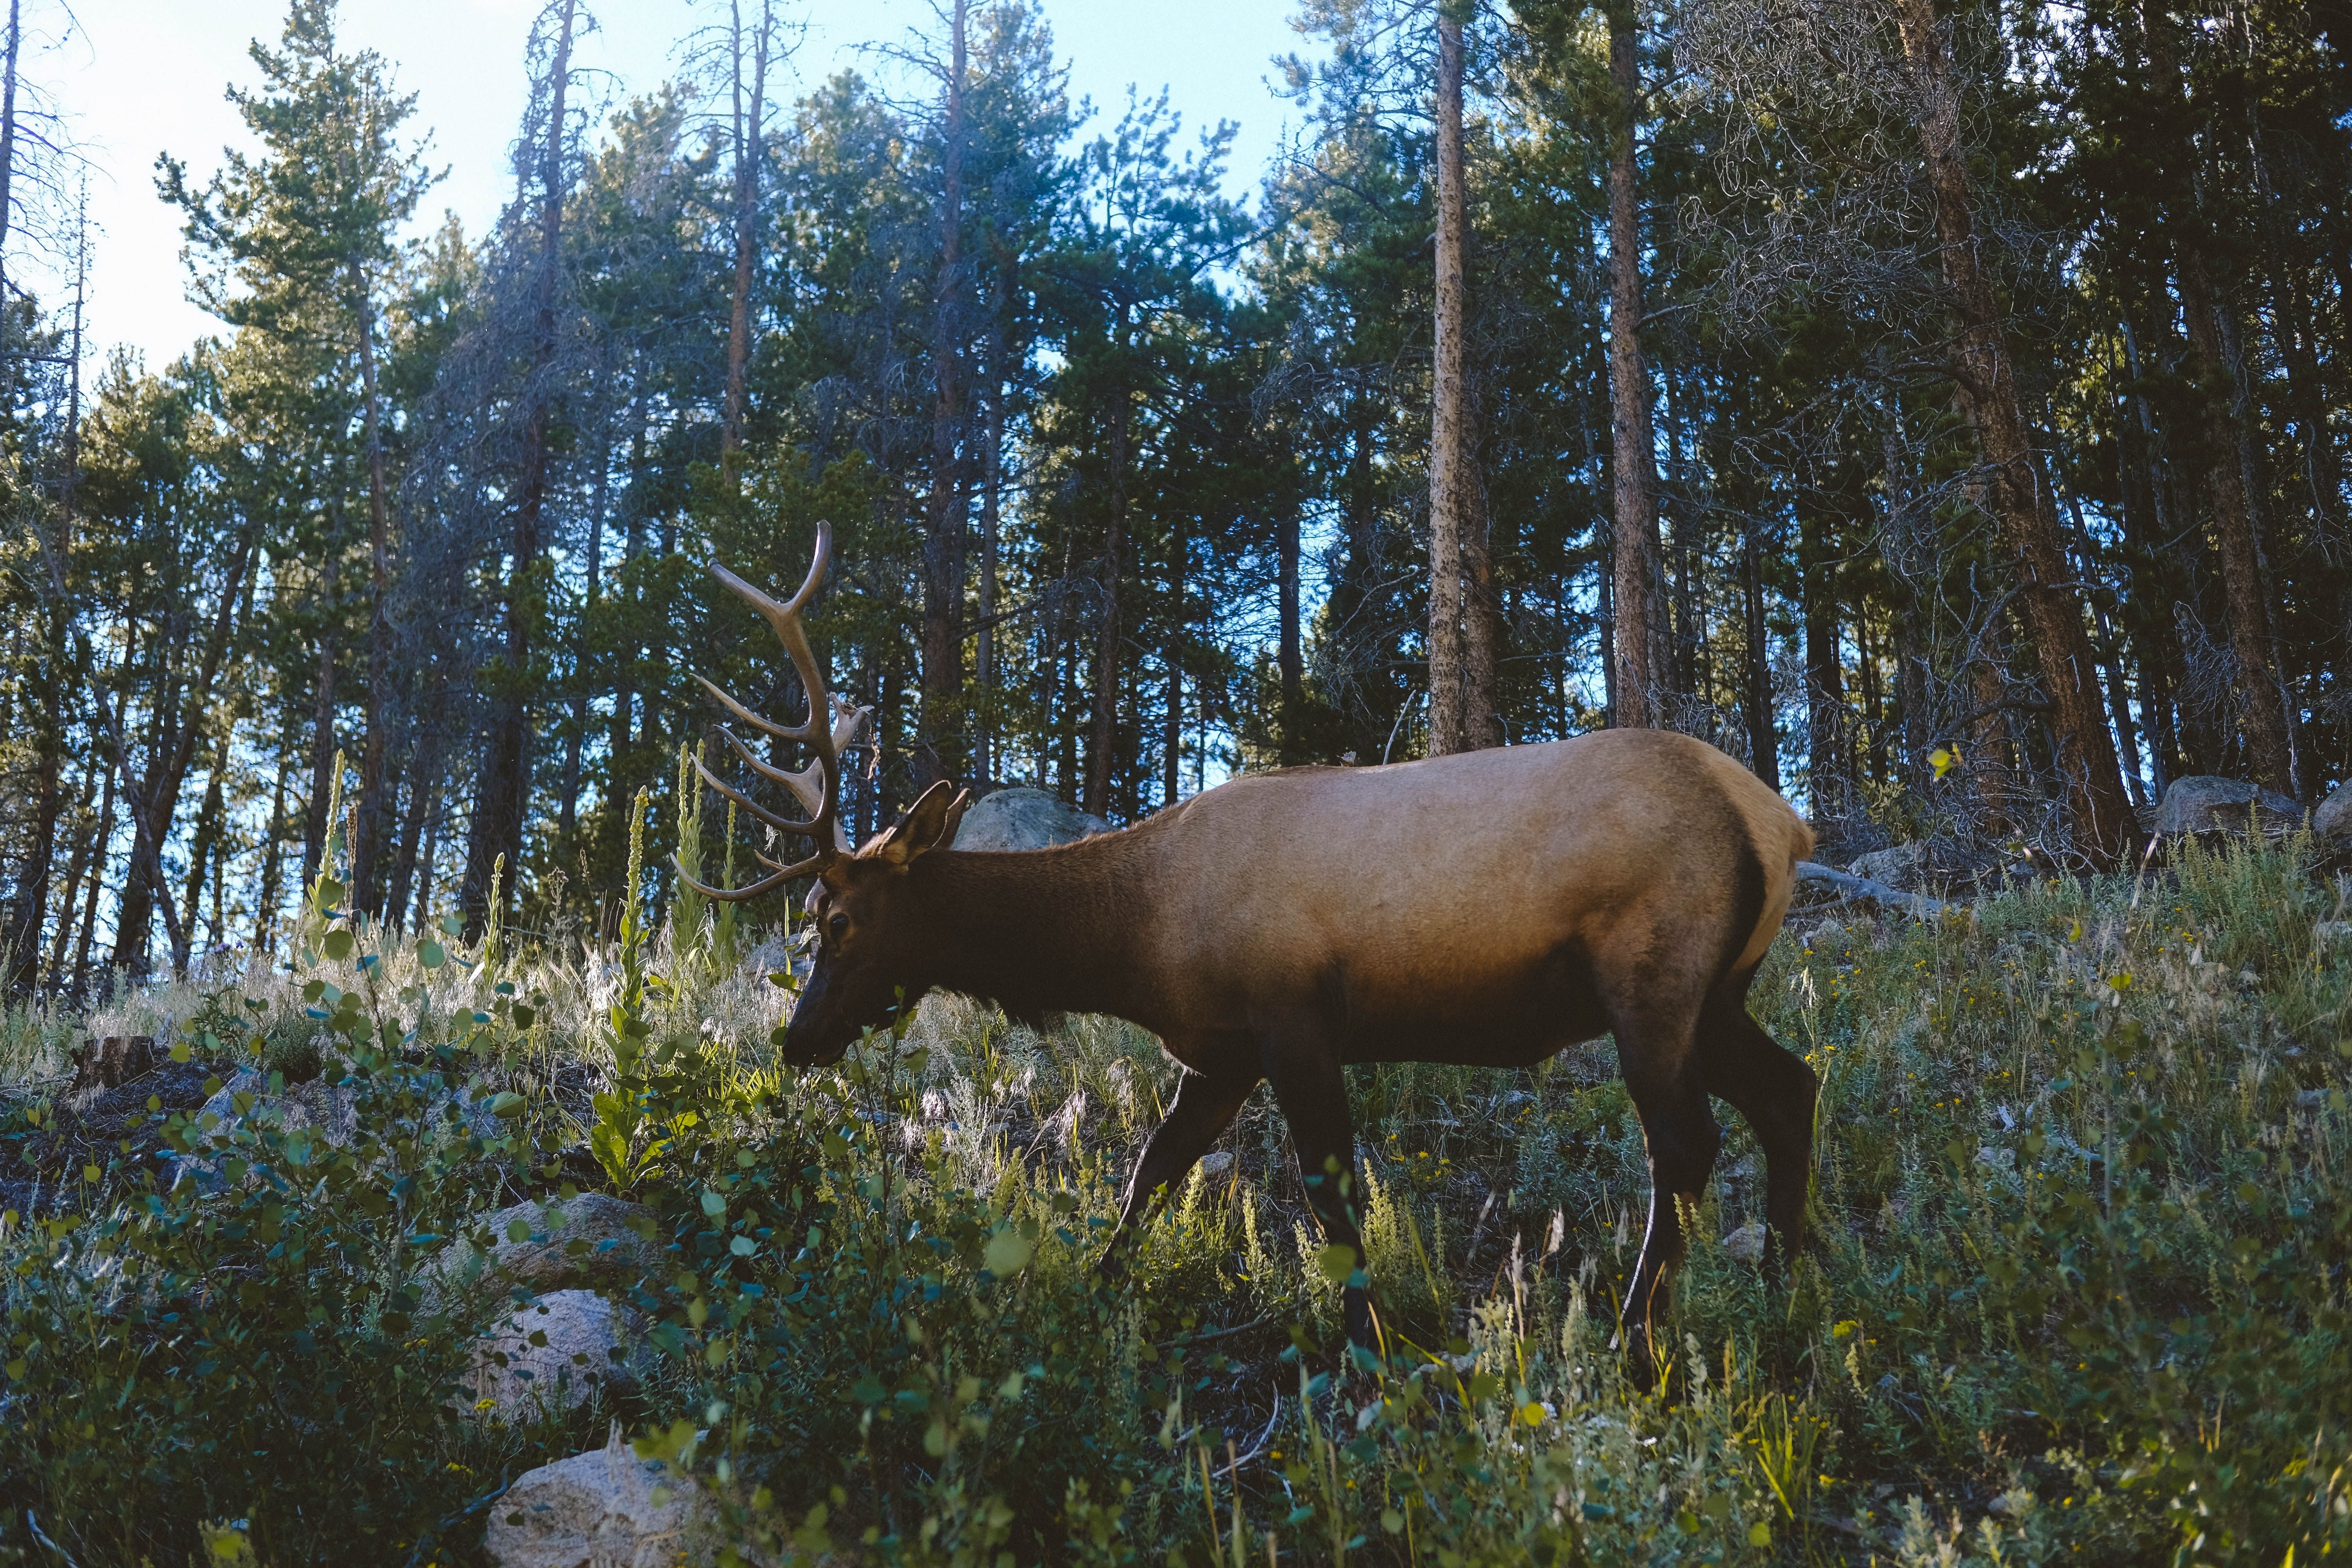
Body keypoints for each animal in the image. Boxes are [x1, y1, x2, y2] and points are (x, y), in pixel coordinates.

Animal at [682, 526, 1816, 1373]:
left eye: (835, 920)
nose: (797, 1041)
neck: (1137, 940)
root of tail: (1779, 821)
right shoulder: (1217, 1051)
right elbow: (1151, 1172)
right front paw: (1098, 1289)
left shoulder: (1293, 1019)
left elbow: (1329, 1195)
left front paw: (1368, 1347)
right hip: (1719, 990)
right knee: (1790, 1087)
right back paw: (1785, 1285)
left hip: (1651, 976)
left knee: (1687, 1141)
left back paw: (1639, 1338)